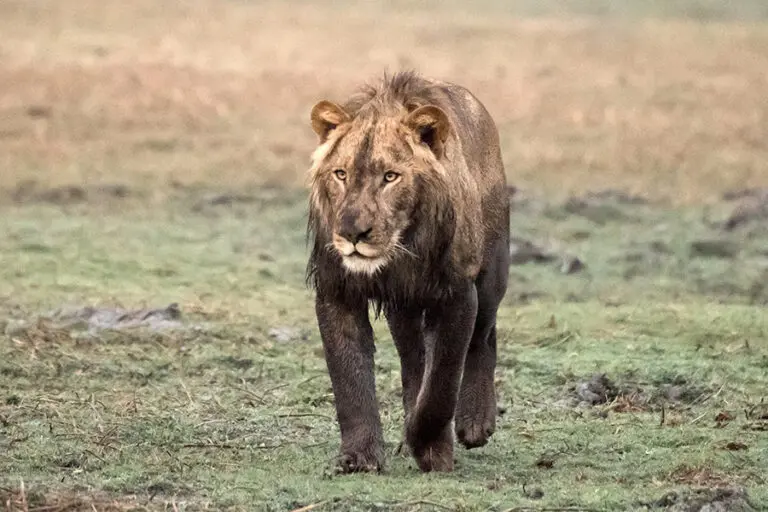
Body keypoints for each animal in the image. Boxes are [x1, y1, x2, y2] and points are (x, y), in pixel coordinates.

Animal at [306, 71, 510, 473]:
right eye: (341, 174)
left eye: (390, 177)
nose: (353, 233)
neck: (400, 251)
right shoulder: (337, 290)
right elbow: (348, 378)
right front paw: (359, 457)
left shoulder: (458, 294)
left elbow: (442, 383)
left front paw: (428, 445)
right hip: (405, 308)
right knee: (414, 360)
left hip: (492, 272)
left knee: (484, 336)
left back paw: (475, 422)